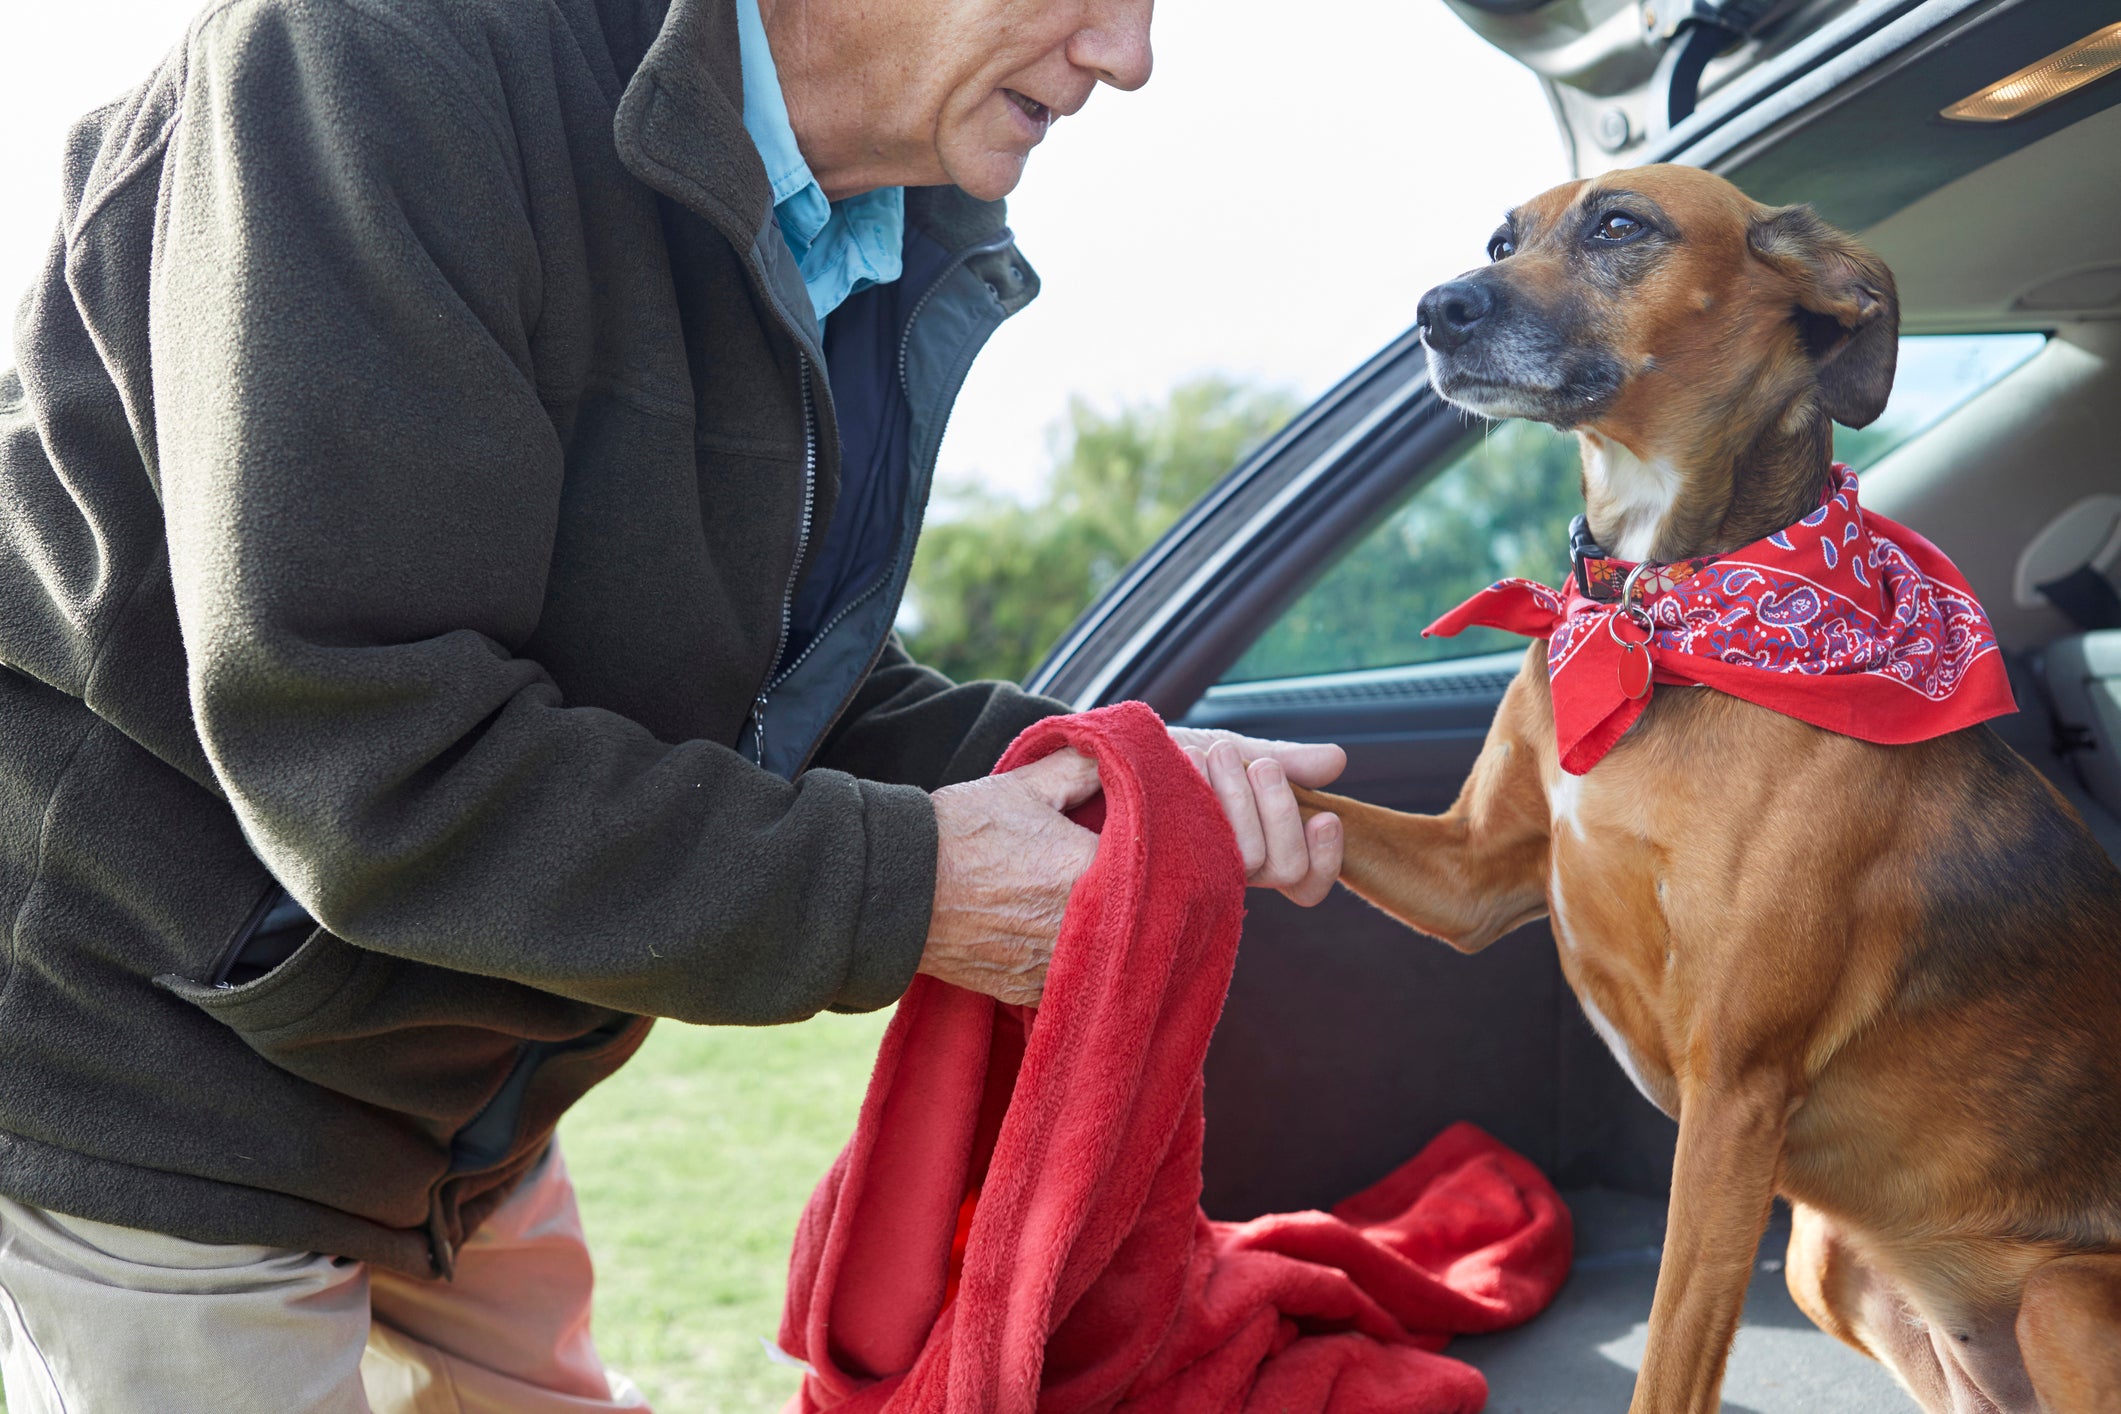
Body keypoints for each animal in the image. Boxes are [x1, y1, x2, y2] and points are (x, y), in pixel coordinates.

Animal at [1289, 168, 2121, 1414]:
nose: (1436, 310)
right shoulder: (1469, 873)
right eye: (1501, 240)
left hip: (2063, 1297)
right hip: (1834, 1261)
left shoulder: (1732, 1094)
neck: (1648, 608)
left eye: (1619, 225)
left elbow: (1672, 1352)